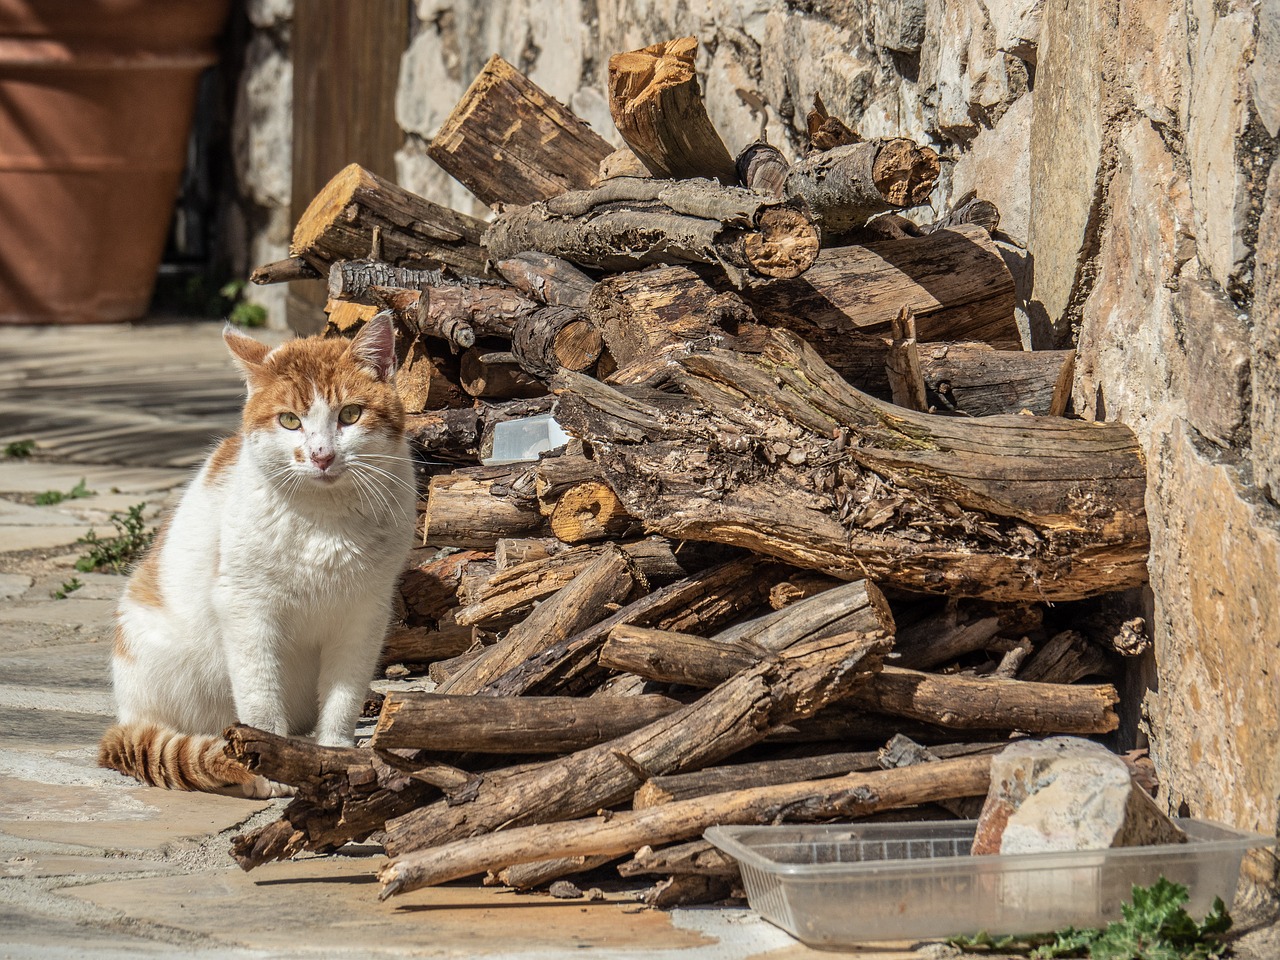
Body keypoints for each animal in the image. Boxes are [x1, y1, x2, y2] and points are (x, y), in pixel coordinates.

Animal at [98, 316, 414, 798]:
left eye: (350, 414)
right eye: (289, 421)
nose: (322, 456)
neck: (325, 520)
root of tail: (125, 715)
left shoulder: (366, 614)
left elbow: (344, 695)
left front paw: (336, 753)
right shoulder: (246, 607)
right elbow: (259, 692)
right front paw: (272, 762)